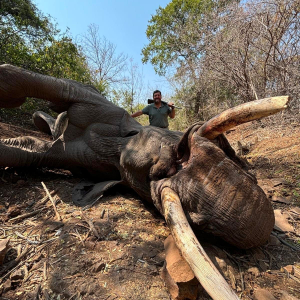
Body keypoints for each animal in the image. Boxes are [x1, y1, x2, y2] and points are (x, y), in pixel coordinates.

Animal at [0, 65, 290, 300]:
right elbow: (62, 86)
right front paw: (11, 95)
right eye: (176, 154)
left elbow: (27, 150)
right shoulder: (96, 102)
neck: (122, 144)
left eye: (201, 225)